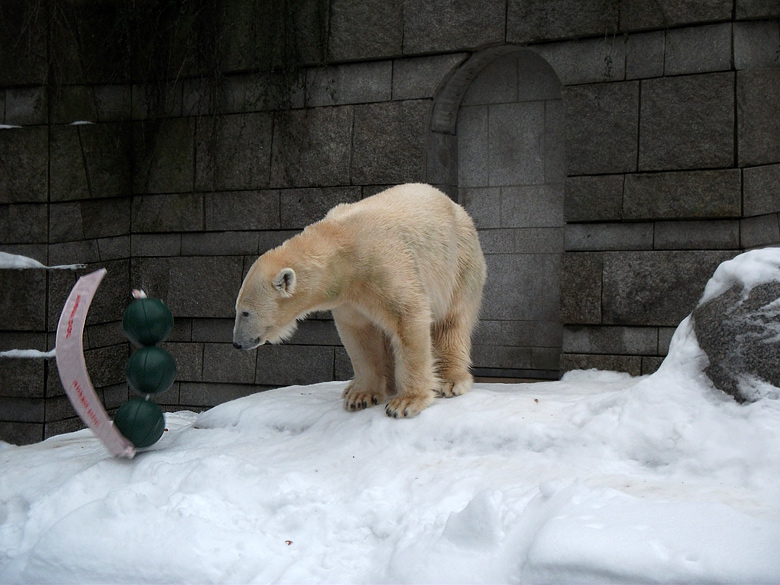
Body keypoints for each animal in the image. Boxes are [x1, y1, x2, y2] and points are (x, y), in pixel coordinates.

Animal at [233, 182, 488, 416]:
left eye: (245, 312)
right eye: (237, 309)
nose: (237, 343)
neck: (343, 245)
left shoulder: (384, 265)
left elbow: (408, 318)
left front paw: (406, 403)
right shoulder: (349, 297)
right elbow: (359, 335)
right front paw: (361, 396)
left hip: (459, 262)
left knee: (452, 320)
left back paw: (450, 380)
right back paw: (359, 386)